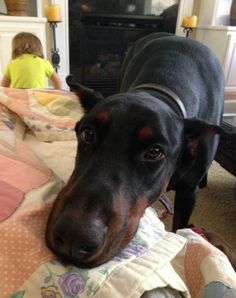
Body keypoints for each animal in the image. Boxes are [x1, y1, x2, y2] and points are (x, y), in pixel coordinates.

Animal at [44, 33, 227, 268]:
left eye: (154, 152)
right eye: (88, 133)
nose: (73, 237)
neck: (161, 90)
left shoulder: (188, 194)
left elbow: (180, 227)